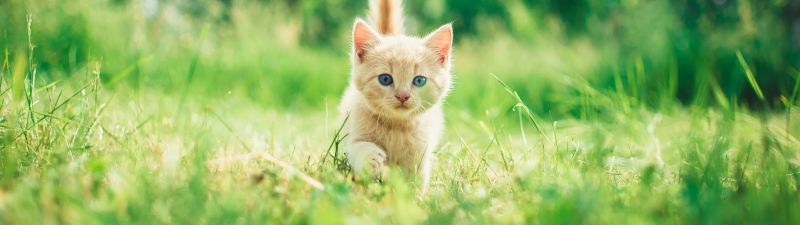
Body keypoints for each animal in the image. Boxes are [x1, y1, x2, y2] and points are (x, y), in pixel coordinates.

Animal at [336, 0, 454, 193]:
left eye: (419, 80)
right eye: (385, 79)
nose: (403, 96)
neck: (396, 127)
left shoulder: (420, 156)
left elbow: (415, 182)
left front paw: (414, 199)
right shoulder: (353, 136)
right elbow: (358, 147)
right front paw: (371, 159)